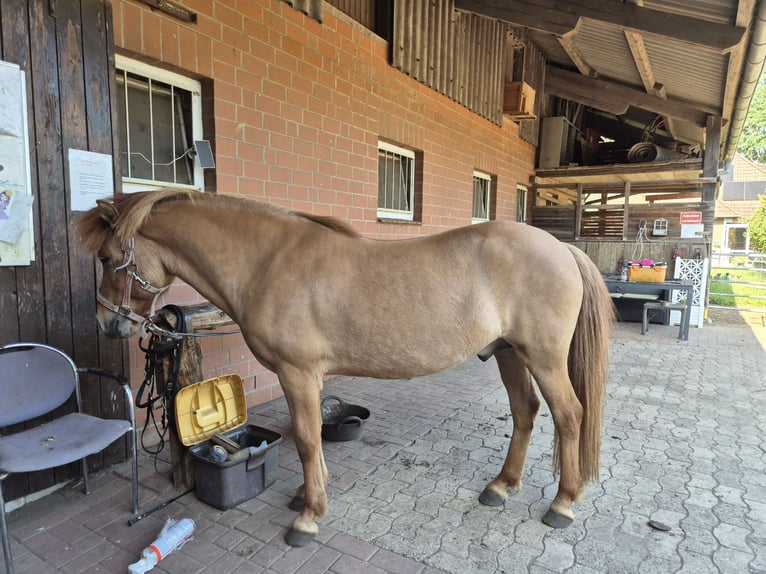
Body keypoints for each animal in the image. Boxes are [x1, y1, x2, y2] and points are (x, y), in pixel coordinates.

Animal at [76, 188, 614, 547]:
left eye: (106, 257)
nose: (106, 323)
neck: (268, 263)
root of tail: (561, 248)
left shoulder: (297, 373)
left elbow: (305, 438)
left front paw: (308, 516)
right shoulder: (305, 377)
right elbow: (311, 437)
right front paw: (306, 495)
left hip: (542, 358)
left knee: (569, 416)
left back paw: (562, 503)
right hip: (508, 353)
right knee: (525, 412)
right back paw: (501, 487)